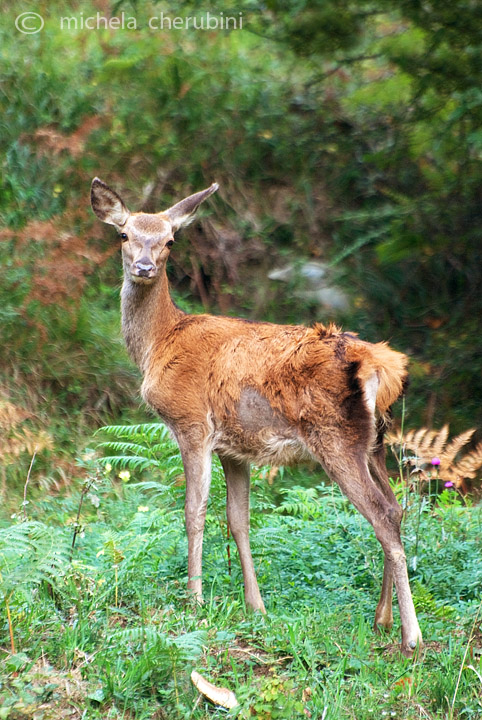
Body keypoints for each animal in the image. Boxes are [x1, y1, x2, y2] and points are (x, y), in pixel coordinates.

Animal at [90, 177, 422, 656]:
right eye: (123, 235)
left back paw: (411, 635)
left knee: (380, 514)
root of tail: (383, 366)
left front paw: (195, 599)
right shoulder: (235, 448)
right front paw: (255, 607)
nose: (144, 266)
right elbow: (239, 520)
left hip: (335, 437)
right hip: (375, 441)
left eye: (170, 240)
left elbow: (193, 510)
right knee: (396, 509)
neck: (159, 344)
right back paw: (381, 620)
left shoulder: (191, 423)